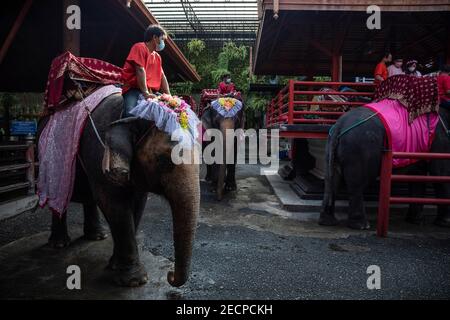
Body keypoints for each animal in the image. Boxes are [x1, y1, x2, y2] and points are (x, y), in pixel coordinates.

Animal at [37, 92, 200, 288]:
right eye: (164, 160)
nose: (170, 276)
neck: (132, 115)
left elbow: (137, 204)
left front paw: (115, 265)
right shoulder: (99, 153)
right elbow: (113, 204)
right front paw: (134, 281)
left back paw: (97, 236)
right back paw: (59, 244)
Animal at [318, 104, 450, 229]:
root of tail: (339, 127)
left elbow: (417, 176)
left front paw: (416, 221)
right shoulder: (440, 142)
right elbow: (440, 173)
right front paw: (444, 223)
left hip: (333, 148)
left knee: (331, 182)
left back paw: (328, 222)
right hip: (360, 148)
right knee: (357, 184)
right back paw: (362, 225)